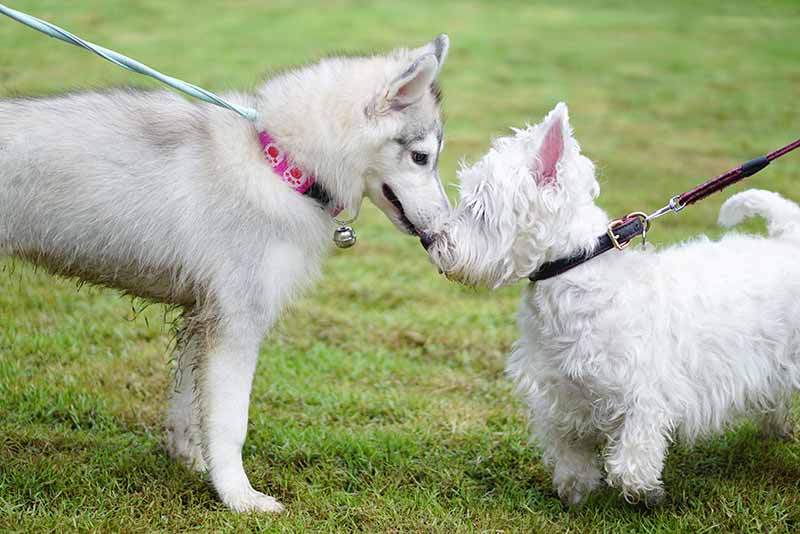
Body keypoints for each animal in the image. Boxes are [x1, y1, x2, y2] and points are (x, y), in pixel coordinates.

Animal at [0, 35, 450, 512]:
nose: (442, 231)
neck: (277, 163)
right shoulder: (236, 320)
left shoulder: (201, 315)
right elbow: (232, 422)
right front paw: (239, 496)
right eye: (421, 157)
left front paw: (193, 463)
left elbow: (187, 405)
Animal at [428, 102, 800, 508]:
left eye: (479, 207)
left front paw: (648, 493)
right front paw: (576, 493)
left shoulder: (643, 395)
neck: (573, 273)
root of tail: (788, 241)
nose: (429, 239)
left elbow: (629, 464)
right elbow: (571, 454)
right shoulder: (561, 396)